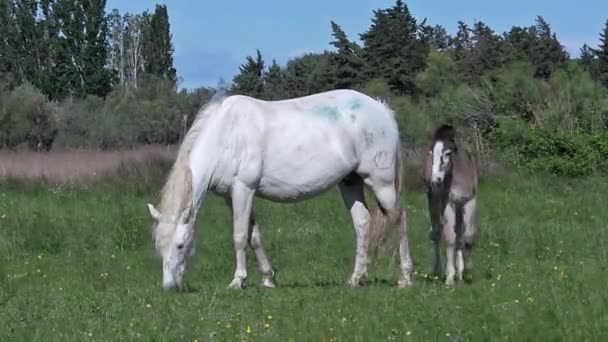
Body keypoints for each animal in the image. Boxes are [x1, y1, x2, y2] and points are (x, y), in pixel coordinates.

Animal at [146, 89, 414, 292]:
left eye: (180, 245)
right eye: (159, 246)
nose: (169, 287)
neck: (226, 135)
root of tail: (382, 110)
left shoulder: (243, 189)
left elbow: (239, 236)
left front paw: (237, 281)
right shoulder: (232, 197)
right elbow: (254, 236)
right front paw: (267, 279)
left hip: (381, 182)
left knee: (399, 219)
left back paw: (405, 277)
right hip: (350, 182)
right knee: (362, 222)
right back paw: (355, 278)